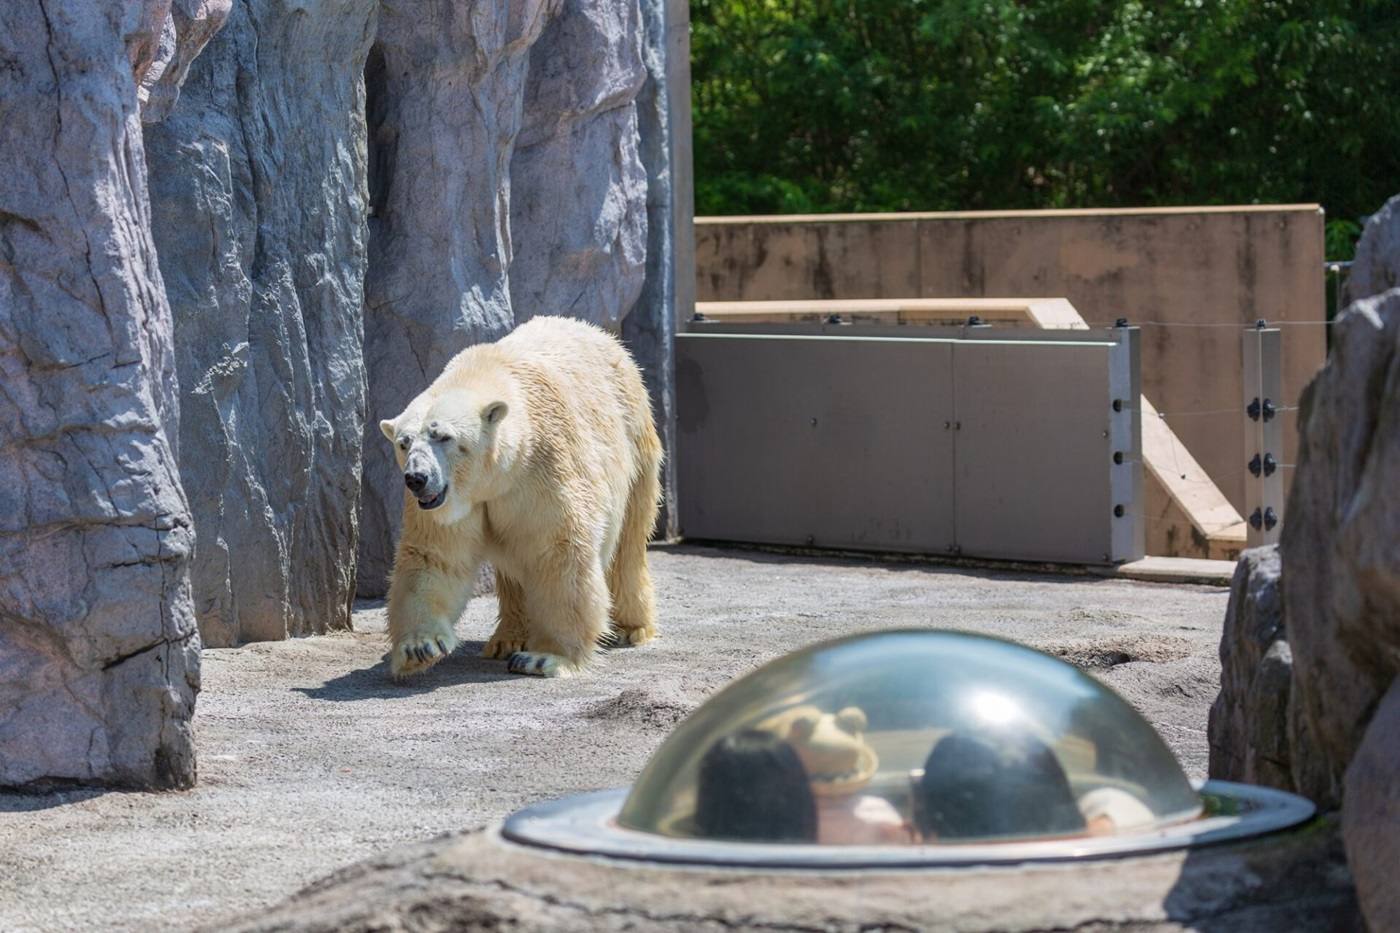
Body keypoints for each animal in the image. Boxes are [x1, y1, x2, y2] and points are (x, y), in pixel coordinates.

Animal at [378, 318, 660, 675]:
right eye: (404, 442)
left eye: (443, 436)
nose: (416, 478)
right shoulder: (452, 502)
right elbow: (435, 556)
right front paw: (420, 647)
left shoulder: (544, 468)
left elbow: (559, 549)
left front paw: (546, 656)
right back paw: (507, 639)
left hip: (635, 437)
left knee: (628, 542)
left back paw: (630, 627)